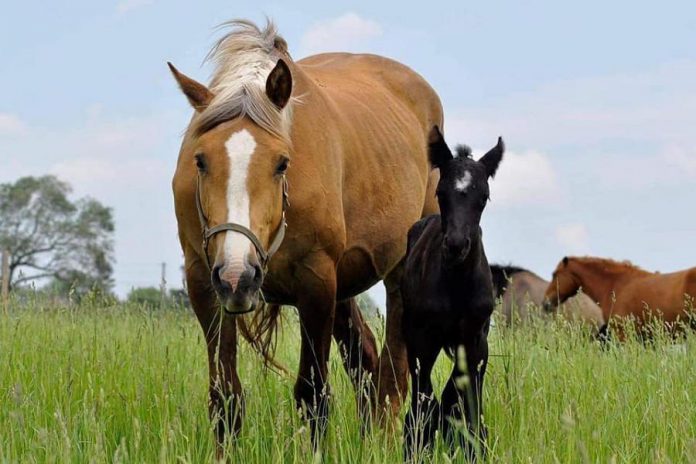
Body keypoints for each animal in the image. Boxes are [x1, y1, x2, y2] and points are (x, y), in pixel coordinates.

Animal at [167, 20, 440, 448]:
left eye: (282, 163)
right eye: (200, 160)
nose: (238, 276)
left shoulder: (316, 281)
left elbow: (313, 396)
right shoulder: (203, 281)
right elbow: (225, 397)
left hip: (397, 274)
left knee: (393, 379)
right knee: (366, 362)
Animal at [396, 128, 506, 460]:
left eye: (483, 197)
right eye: (441, 194)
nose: (456, 245)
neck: (456, 285)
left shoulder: (475, 341)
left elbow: (463, 395)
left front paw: (472, 442)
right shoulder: (423, 339)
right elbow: (425, 395)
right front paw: (419, 443)